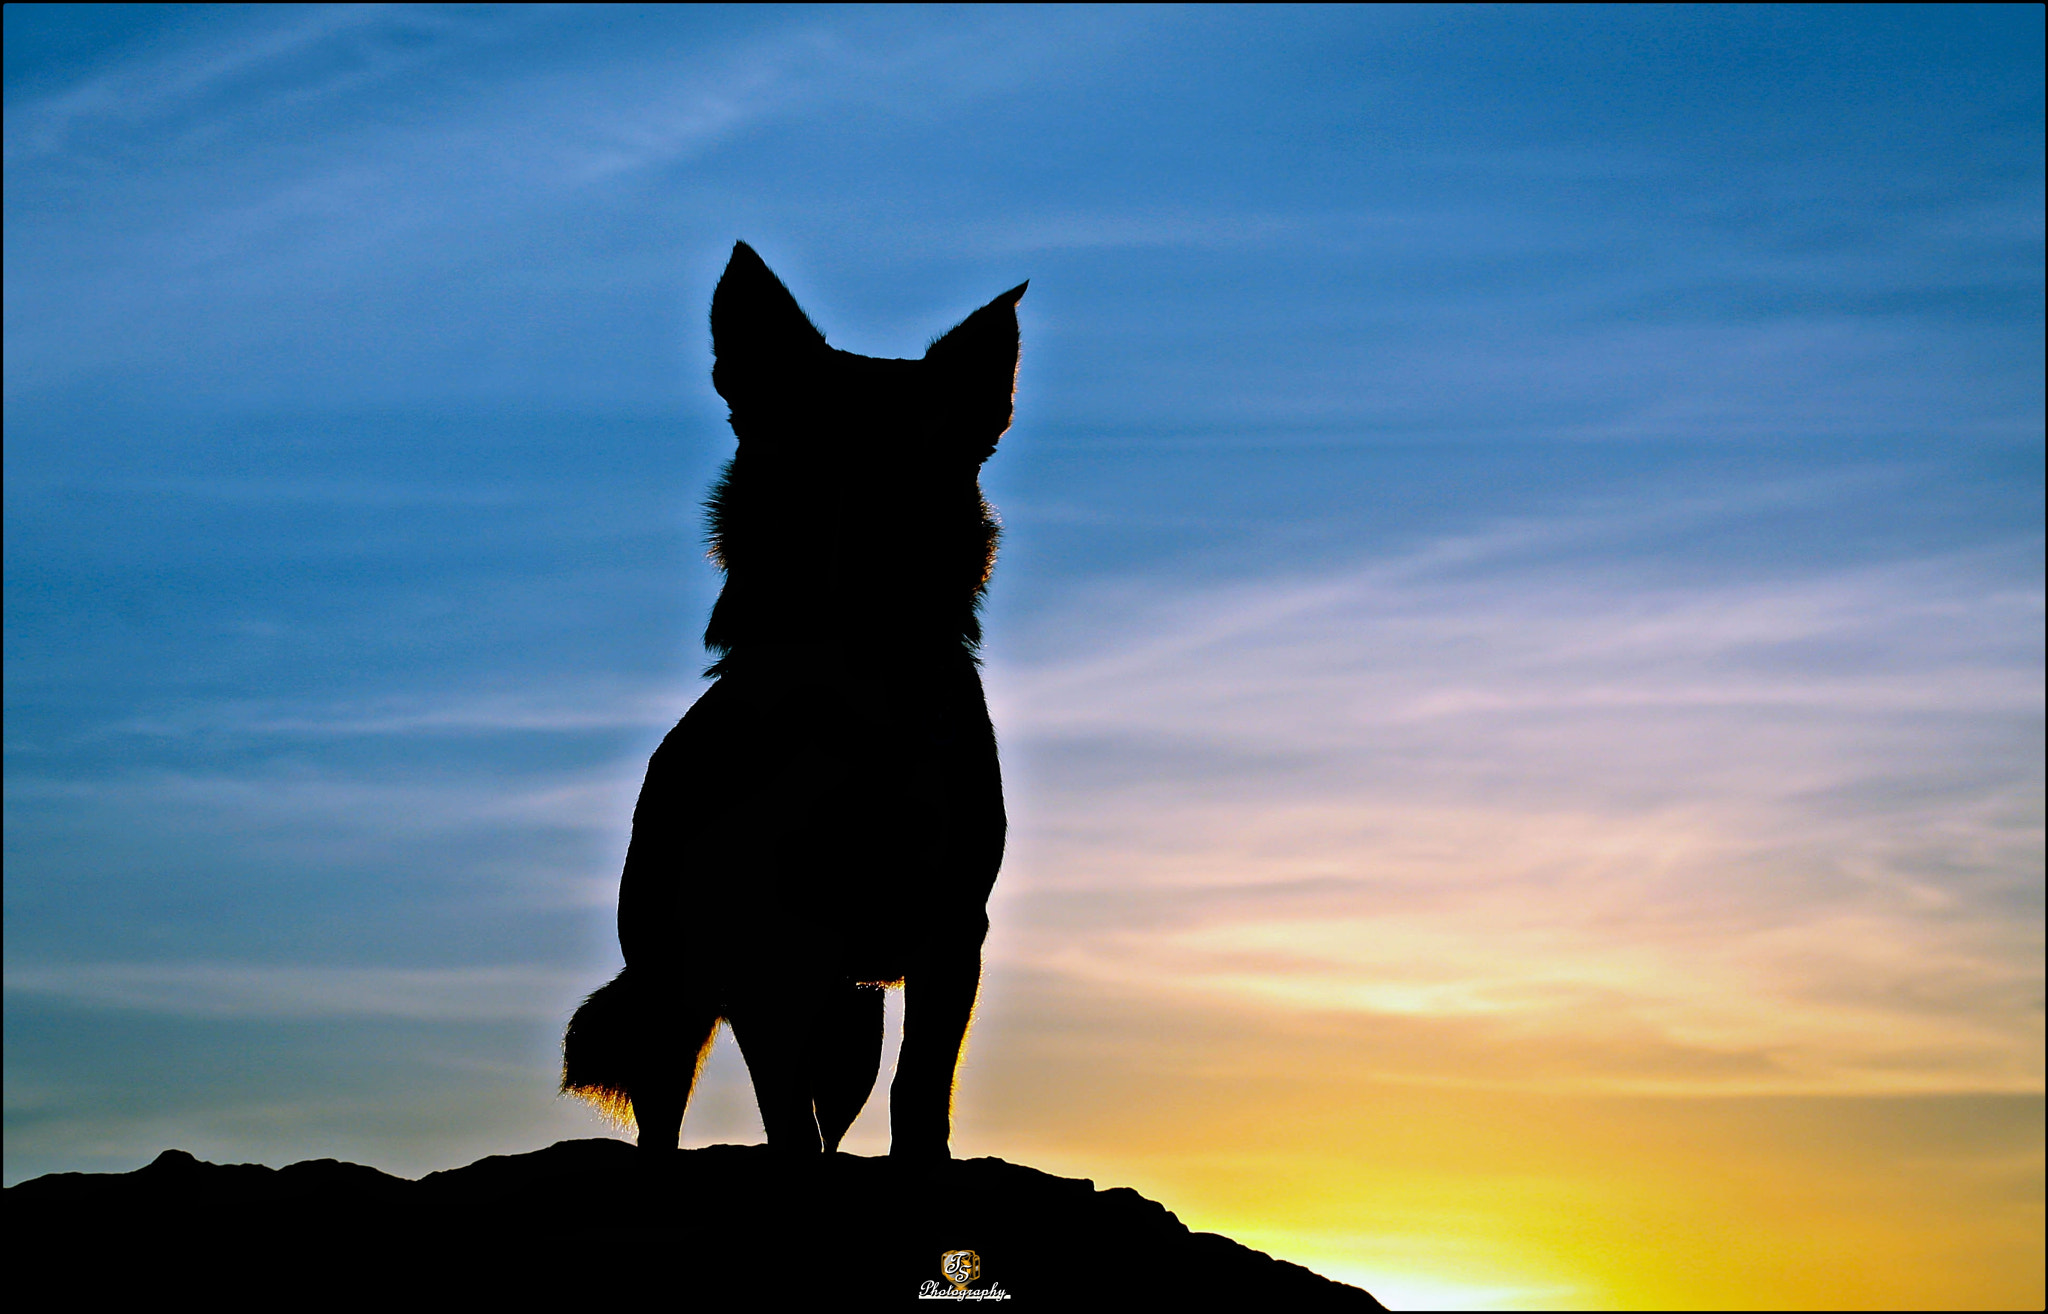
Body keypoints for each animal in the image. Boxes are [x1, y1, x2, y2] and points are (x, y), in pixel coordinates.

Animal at [562, 241, 1025, 1159]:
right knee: (665, 1102)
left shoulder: (952, 929)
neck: (856, 667)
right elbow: (785, 1120)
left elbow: (921, 1090)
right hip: (677, 987)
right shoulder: (770, 953)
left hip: (853, 1018)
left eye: (923, 467)